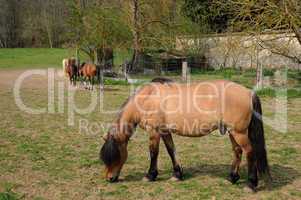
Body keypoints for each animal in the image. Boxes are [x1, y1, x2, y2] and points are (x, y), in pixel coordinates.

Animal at [99, 77, 270, 192]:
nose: (109, 178)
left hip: (239, 133)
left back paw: (251, 184)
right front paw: (177, 174)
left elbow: (153, 153)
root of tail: (249, 92)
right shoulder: (165, 131)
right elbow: (171, 151)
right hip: (231, 132)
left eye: (115, 155)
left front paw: (150, 175)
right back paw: (232, 178)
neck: (147, 98)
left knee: (250, 152)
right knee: (237, 151)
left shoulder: (154, 132)